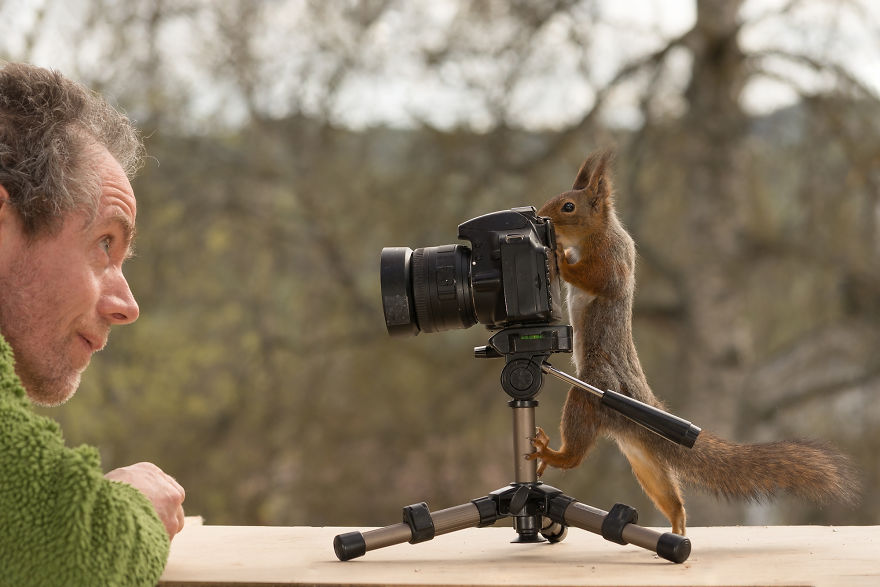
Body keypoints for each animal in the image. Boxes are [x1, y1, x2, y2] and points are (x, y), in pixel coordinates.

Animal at [528, 150, 859, 535]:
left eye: (568, 206)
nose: (541, 218)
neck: (598, 232)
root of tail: (639, 404)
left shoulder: (613, 260)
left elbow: (599, 279)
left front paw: (559, 258)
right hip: (642, 456)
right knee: (668, 494)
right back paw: (676, 527)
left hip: (588, 395)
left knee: (575, 455)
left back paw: (551, 452)